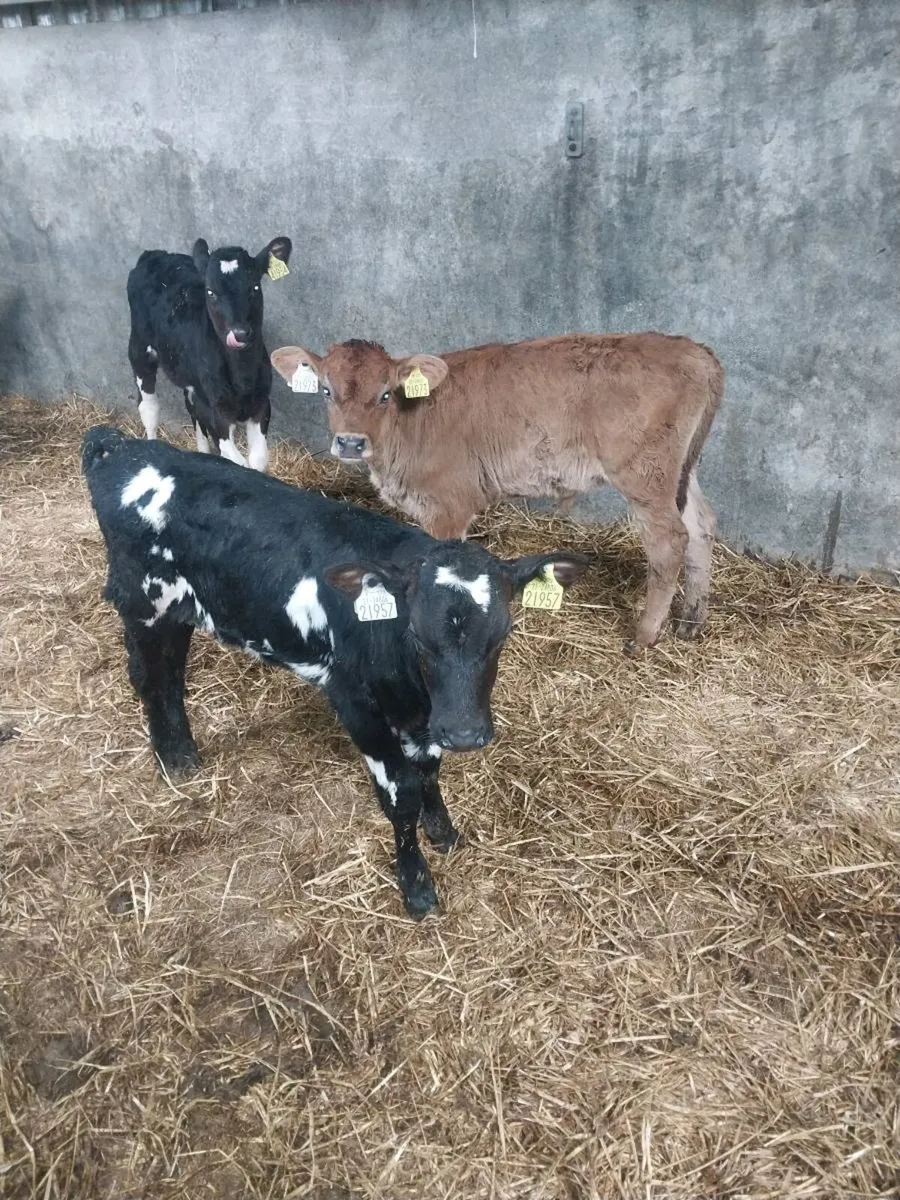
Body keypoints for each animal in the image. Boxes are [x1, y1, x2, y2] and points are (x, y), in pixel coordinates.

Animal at [81, 426, 589, 918]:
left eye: (503, 634)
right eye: (418, 634)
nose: (465, 734)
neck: (413, 691)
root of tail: (121, 446)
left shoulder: (425, 718)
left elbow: (428, 773)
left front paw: (443, 832)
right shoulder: (355, 701)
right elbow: (402, 792)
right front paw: (416, 885)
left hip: (181, 610)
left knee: (171, 675)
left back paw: (182, 753)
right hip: (143, 602)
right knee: (150, 677)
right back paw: (175, 759)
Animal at [127, 235, 292, 471]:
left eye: (254, 287)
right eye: (211, 292)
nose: (239, 333)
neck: (243, 375)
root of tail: (156, 254)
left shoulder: (261, 404)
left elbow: (258, 459)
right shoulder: (218, 414)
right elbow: (237, 461)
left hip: (191, 380)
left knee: (192, 408)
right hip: (140, 349)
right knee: (149, 408)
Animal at [270, 333, 723, 650]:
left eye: (385, 394)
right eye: (325, 390)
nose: (350, 443)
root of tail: (695, 351)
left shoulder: (448, 508)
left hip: (644, 476)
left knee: (669, 540)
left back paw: (645, 635)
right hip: (681, 471)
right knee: (701, 524)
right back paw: (691, 621)